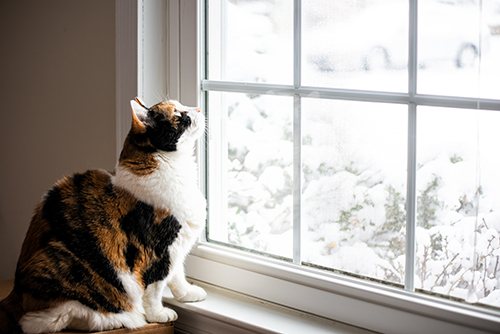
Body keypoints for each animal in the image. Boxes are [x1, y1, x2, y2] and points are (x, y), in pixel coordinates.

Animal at [0, 98, 207, 332]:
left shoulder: (176, 246)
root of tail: (13, 295)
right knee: (51, 320)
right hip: (60, 269)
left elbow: (177, 274)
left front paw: (187, 293)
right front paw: (158, 314)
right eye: (179, 114)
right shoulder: (157, 250)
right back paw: (125, 317)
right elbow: (155, 287)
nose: (198, 108)